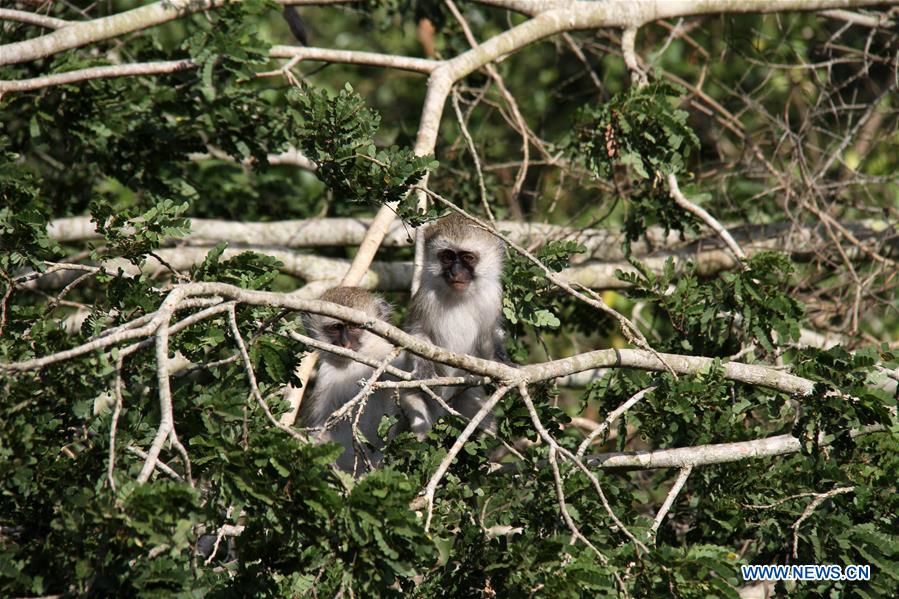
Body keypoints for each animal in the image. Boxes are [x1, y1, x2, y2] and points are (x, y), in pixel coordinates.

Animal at [404, 213, 510, 438]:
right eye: (447, 257)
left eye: (467, 258)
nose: (455, 272)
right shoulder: (426, 297)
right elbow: (416, 333)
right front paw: (424, 366)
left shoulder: (492, 296)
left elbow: (490, 335)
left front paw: (504, 362)